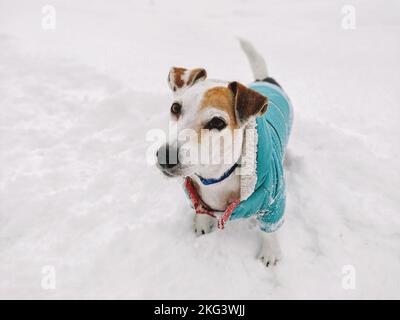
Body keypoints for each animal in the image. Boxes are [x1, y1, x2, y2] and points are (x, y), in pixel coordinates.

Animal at [157, 38, 294, 266]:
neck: (215, 177)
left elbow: (270, 230)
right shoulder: (195, 194)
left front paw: (270, 252)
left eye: (217, 122)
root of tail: (266, 79)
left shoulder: (273, 202)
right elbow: (201, 209)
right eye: (175, 107)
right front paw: (202, 224)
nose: (165, 157)